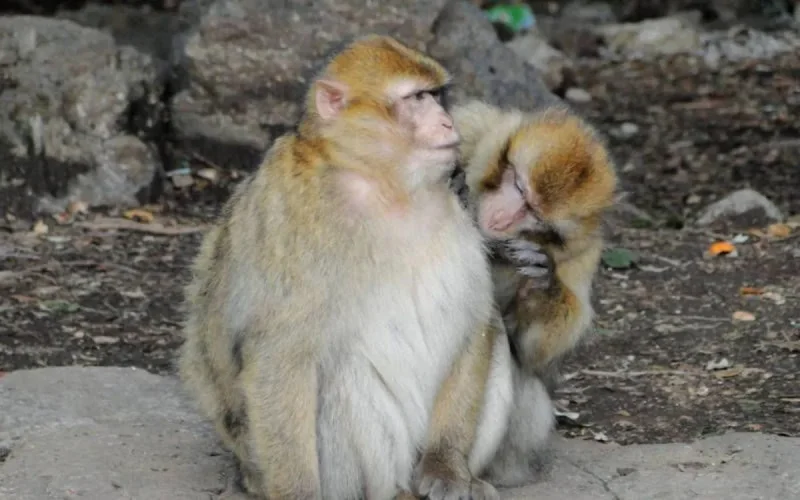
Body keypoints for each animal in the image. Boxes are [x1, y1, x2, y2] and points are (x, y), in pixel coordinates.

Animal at [178, 35, 517, 500]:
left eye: (436, 96)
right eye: (417, 99)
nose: (447, 123)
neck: (386, 187)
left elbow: (476, 323)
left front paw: (447, 467)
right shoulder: (294, 219)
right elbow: (280, 353)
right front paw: (297, 492)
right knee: (344, 374)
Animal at [452, 100, 618, 392]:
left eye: (536, 216)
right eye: (519, 188)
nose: (501, 219)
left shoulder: (583, 255)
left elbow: (533, 354)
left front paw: (544, 285)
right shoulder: (471, 125)